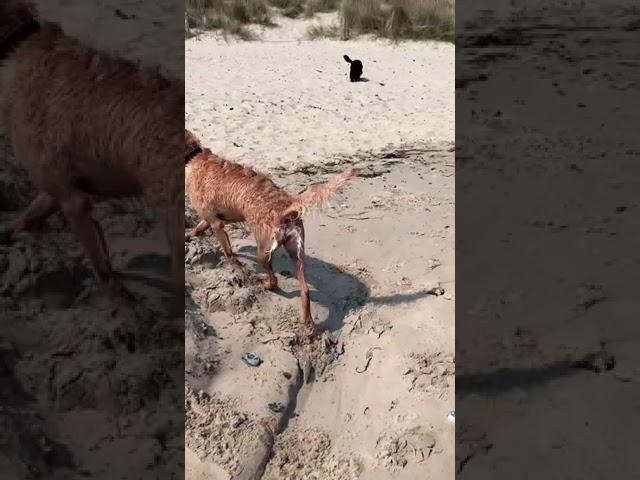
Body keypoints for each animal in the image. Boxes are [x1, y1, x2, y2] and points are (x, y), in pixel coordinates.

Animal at [185, 131, 358, 332]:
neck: (194, 157)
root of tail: (288, 206)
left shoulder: (216, 224)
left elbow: (229, 254)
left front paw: (237, 269)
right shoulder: (212, 219)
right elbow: (199, 227)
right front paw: (189, 236)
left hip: (263, 250)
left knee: (274, 280)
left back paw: (267, 285)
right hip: (296, 252)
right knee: (305, 290)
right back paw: (307, 321)